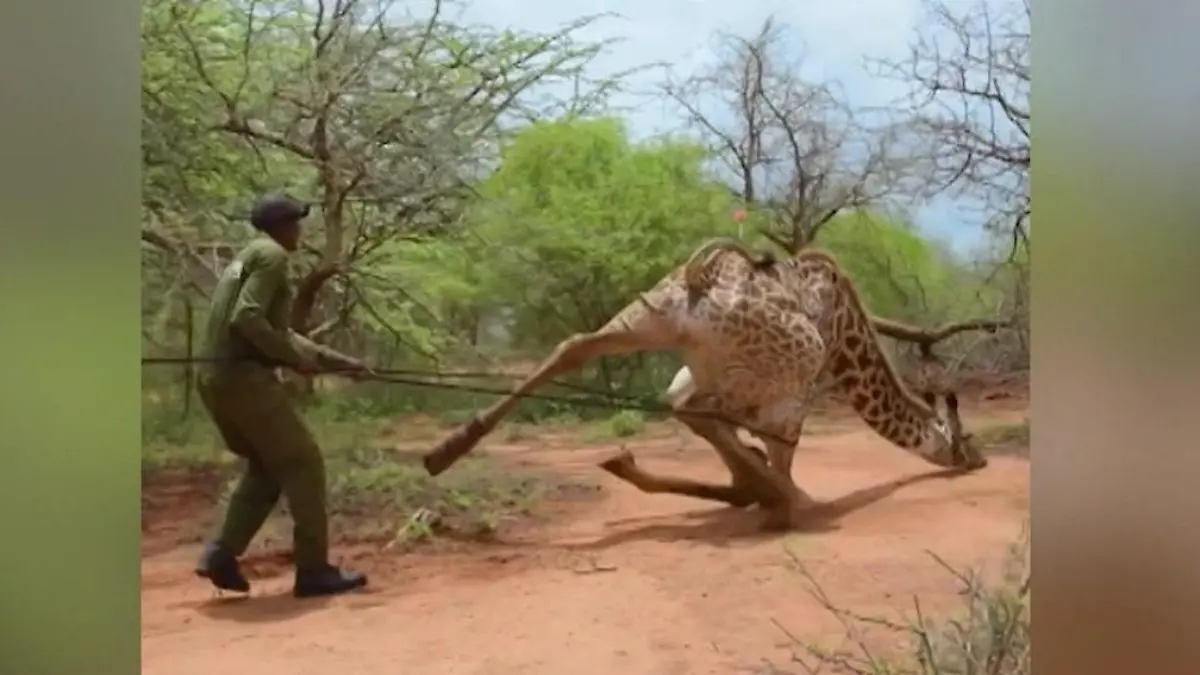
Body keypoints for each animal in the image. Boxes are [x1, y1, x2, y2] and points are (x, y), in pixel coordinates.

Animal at [423, 237, 985, 531]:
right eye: (967, 439)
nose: (978, 461)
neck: (850, 342)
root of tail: (701, 279)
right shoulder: (791, 391)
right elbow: (772, 453)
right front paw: (783, 502)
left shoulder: (704, 377)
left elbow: (734, 446)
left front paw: (759, 492)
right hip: (773, 367)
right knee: (699, 412)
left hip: (651, 318)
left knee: (577, 345)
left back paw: (444, 450)